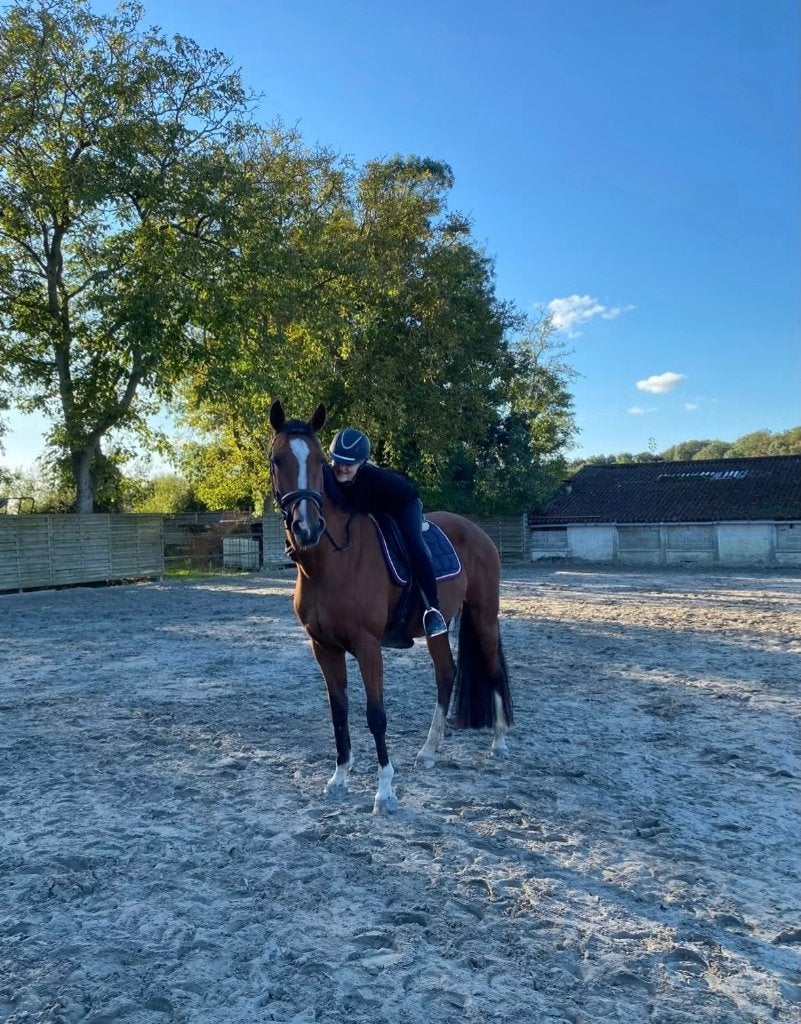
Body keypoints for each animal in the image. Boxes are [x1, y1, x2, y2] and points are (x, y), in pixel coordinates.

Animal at [268, 400, 513, 814]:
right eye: (277, 459)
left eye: (318, 460)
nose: (307, 528)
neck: (330, 562)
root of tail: (477, 530)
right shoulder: (324, 647)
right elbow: (339, 712)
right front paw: (339, 778)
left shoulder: (368, 646)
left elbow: (376, 715)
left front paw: (384, 791)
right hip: (439, 626)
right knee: (446, 674)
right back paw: (429, 750)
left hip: (484, 615)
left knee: (493, 669)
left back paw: (498, 742)